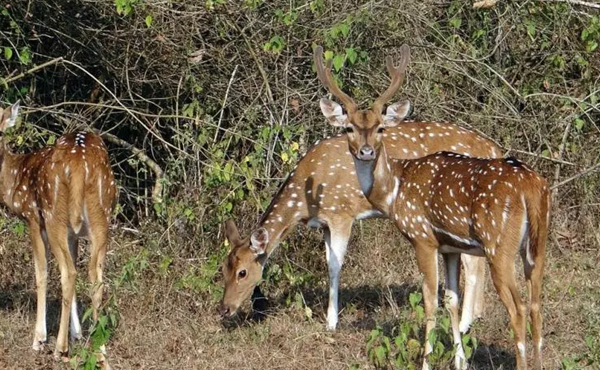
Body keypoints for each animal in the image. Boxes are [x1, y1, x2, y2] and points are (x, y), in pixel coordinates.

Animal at [0, 102, 118, 362]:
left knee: (69, 273)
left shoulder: (33, 217)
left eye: (1, 131)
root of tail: (80, 164)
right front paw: (77, 333)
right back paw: (99, 347)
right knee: (95, 276)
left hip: (54, 215)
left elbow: (41, 273)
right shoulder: (73, 234)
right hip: (102, 215)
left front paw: (40, 338)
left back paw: (59, 348)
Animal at [218, 69, 504, 332]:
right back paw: (476, 316)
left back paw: (465, 324)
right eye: (223, 268)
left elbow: (334, 266)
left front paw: (331, 322)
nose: (225, 308)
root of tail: (494, 149)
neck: (305, 199)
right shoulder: (325, 224)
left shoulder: (341, 213)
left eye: (243, 271)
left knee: (473, 265)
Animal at [316, 44, 552, 370]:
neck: (394, 190)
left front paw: (426, 362)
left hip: (499, 245)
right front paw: (460, 360)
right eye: (350, 127)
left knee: (517, 308)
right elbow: (451, 300)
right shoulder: (450, 247)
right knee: (537, 303)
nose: (366, 151)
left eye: (380, 128)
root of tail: (531, 186)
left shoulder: (423, 238)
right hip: (538, 245)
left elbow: (430, 301)